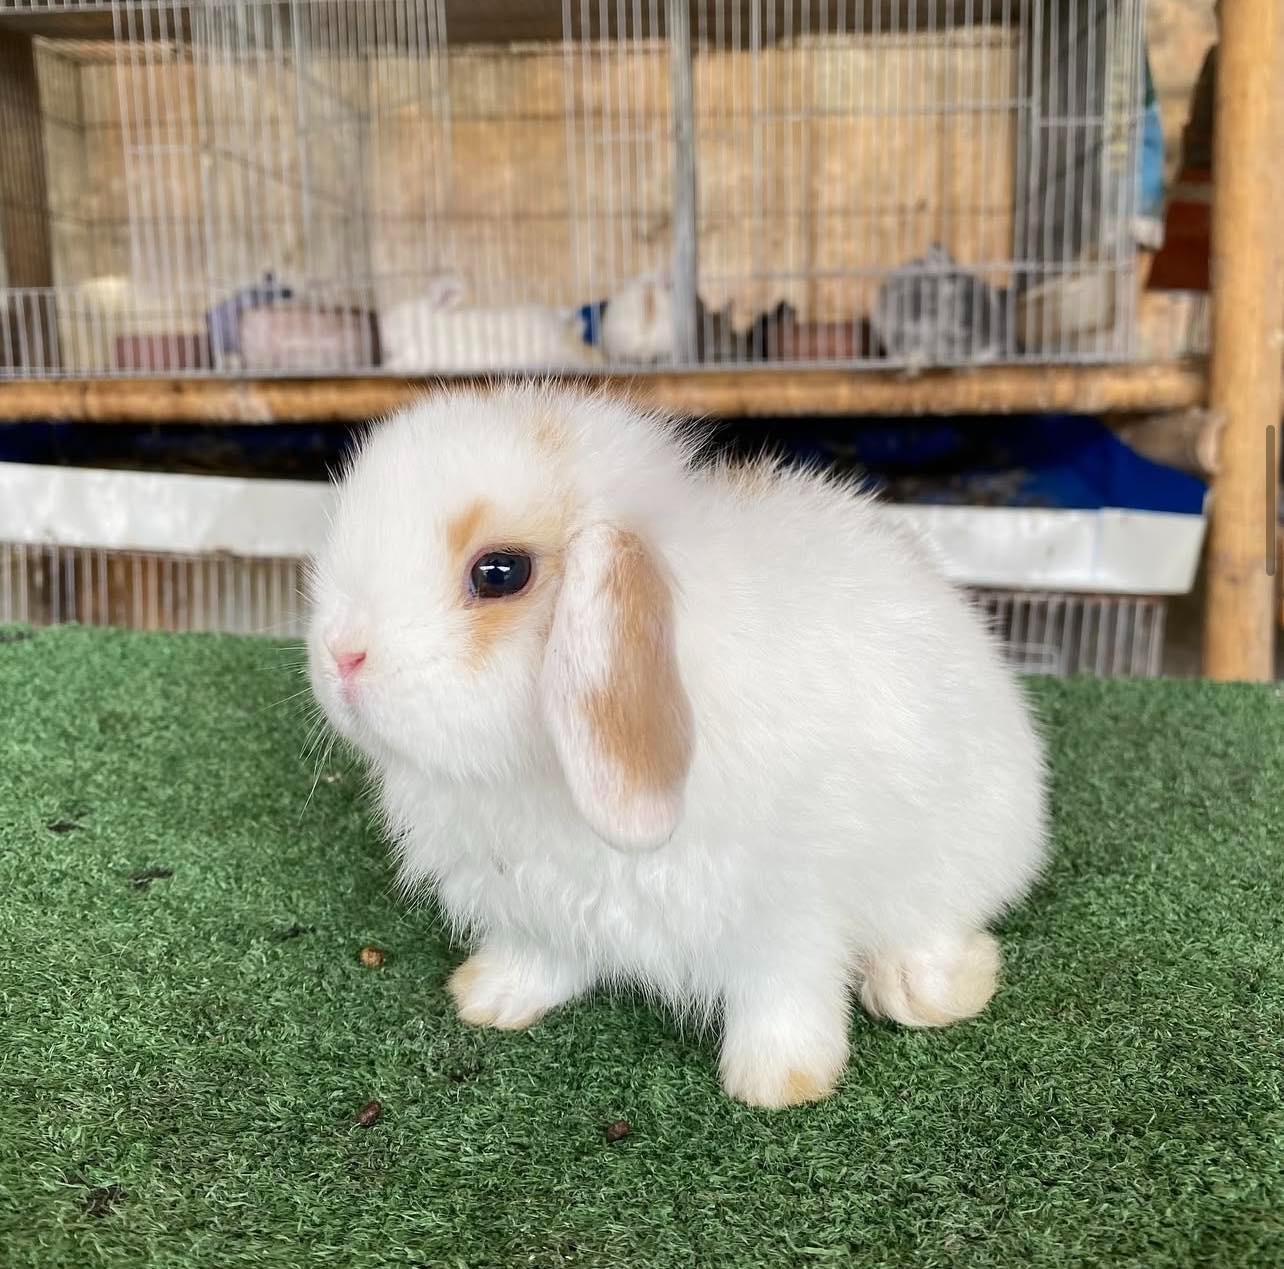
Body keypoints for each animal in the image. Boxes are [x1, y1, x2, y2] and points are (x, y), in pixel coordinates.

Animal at [307, 382, 1048, 1109]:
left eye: (499, 572)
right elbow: (542, 955)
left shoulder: (788, 911)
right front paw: (491, 997)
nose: (341, 655)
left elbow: (786, 990)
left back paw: (922, 988)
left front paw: (778, 1081)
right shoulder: (533, 903)